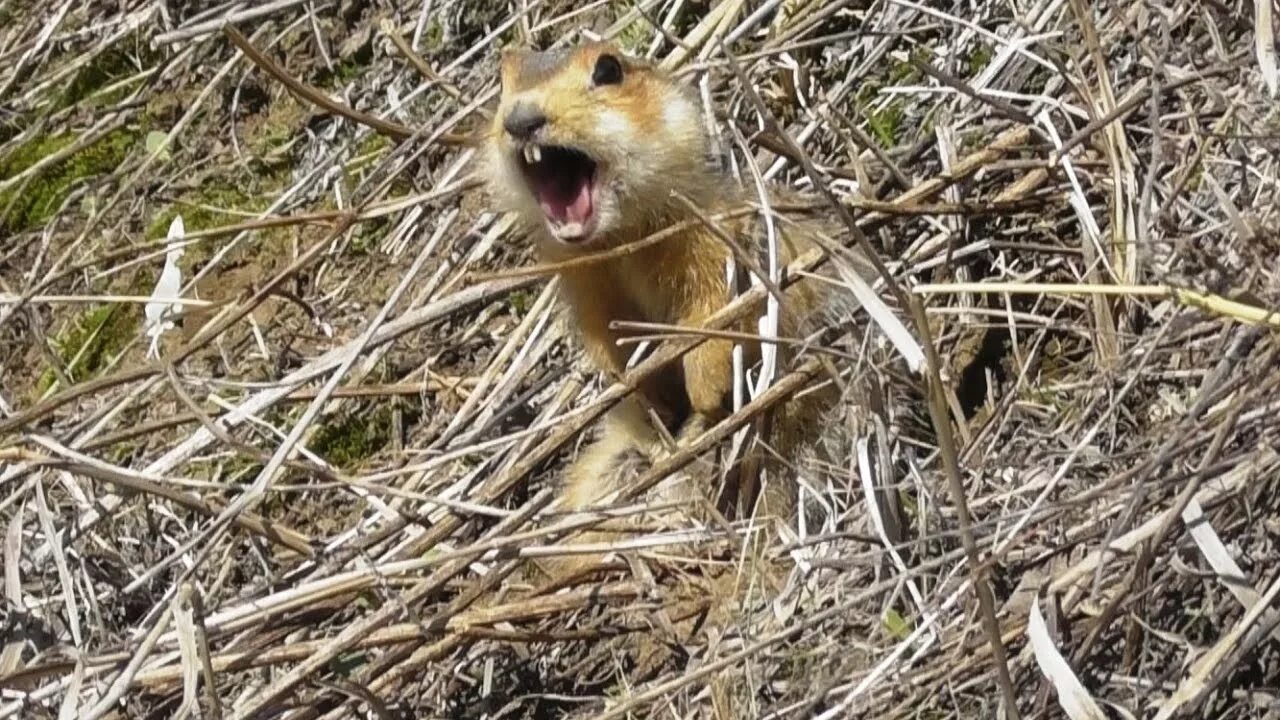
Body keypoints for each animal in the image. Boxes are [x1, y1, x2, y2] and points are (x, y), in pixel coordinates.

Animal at [481, 41, 849, 530]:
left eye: (608, 68)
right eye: (502, 78)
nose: (519, 120)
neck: (620, 239)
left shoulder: (713, 234)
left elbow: (715, 308)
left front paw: (705, 392)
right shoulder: (584, 284)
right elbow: (607, 342)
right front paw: (642, 394)